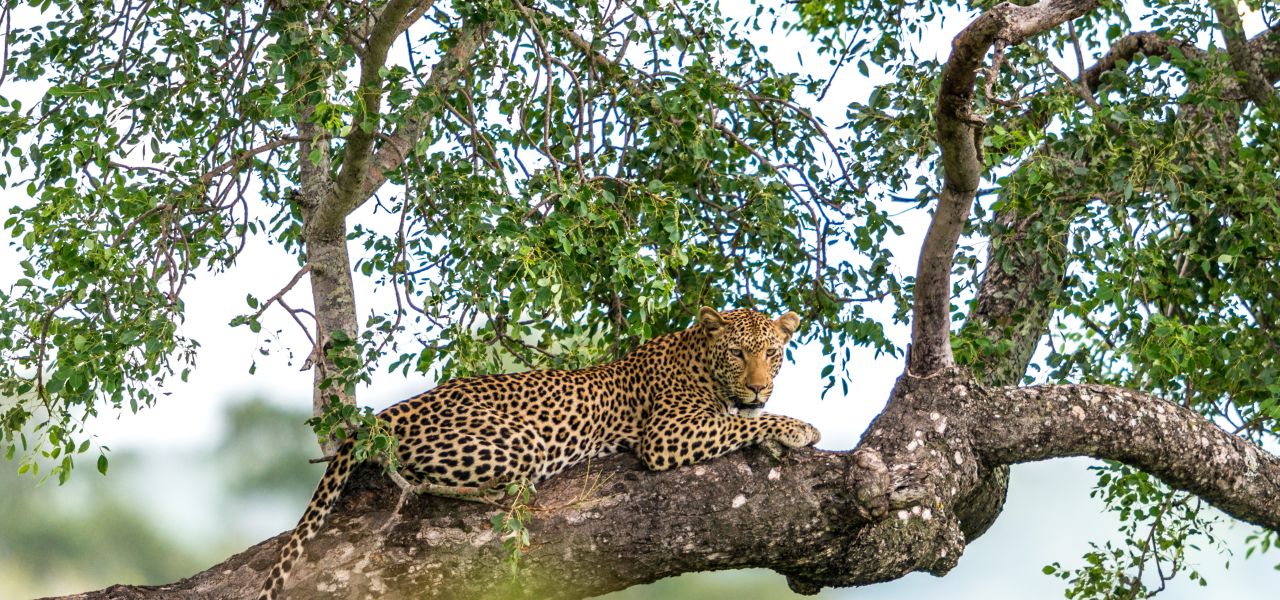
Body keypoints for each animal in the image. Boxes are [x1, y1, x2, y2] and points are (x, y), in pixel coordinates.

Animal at [258, 305, 819, 596]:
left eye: (773, 353)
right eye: (738, 353)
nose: (759, 386)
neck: (701, 360)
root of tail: (393, 411)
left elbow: (742, 420)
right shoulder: (668, 433)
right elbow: (736, 424)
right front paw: (800, 428)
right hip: (517, 444)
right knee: (422, 480)